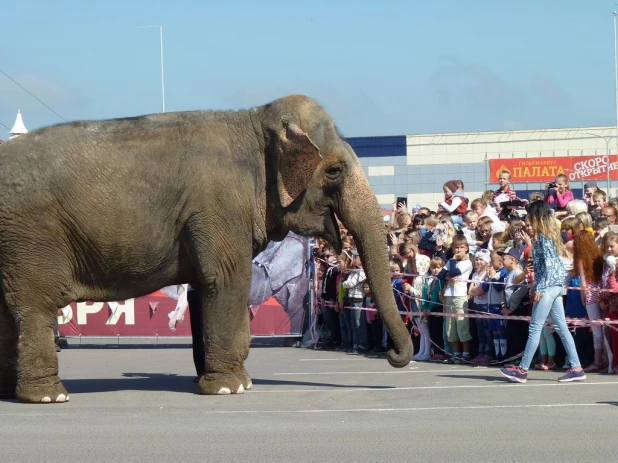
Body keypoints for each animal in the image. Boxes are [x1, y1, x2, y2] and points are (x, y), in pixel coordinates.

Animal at [1, 94, 414, 402]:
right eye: (334, 171)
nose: (396, 357)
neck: (253, 120)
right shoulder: (221, 206)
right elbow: (227, 281)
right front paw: (233, 388)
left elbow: (203, 290)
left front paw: (210, 381)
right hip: (31, 234)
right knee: (35, 305)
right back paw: (48, 396)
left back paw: (11, 393)